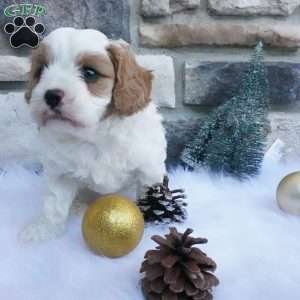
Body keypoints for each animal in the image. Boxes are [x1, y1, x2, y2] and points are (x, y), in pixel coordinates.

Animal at [20, 28, 168, 243]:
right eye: (40, 71)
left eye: (90, 73)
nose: (51, 95)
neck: (94, 135)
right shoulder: (60, 175)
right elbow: (53, 206)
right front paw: (43, 230)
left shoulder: (149, 169)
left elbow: (151, 197)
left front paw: (155, 223)